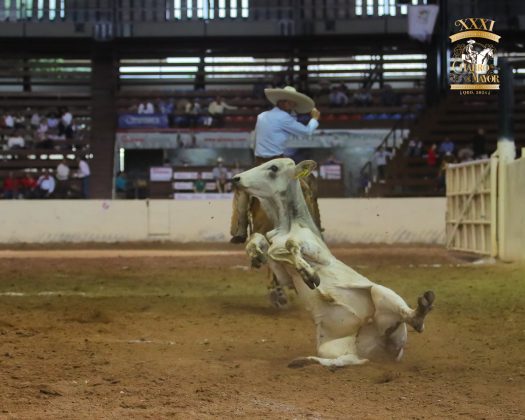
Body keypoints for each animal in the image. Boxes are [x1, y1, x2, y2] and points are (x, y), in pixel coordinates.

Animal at [233, 158, 434, 368]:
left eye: (273, 168)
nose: (236, 178)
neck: (285, 226)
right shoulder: (283, 275)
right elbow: (260, 241)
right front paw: (257, 254)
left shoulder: (319, 254)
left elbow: (290, 245)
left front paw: (309, 274)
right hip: (333, 348)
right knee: (350, 360)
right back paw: (304, 361)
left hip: (381, 292)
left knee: (412, 319)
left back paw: (423, 306)